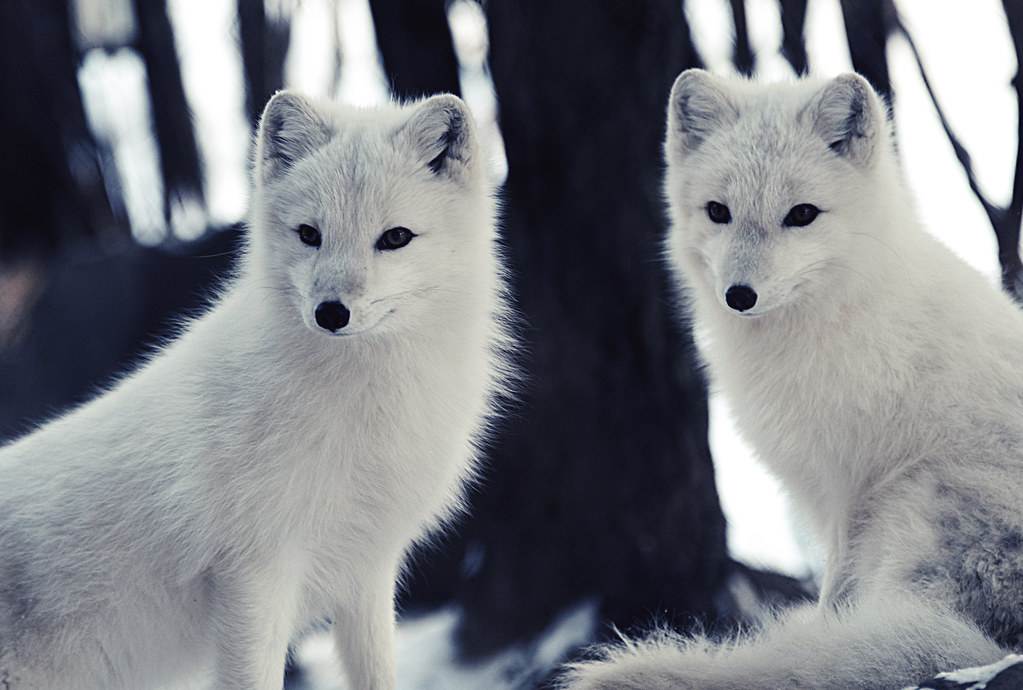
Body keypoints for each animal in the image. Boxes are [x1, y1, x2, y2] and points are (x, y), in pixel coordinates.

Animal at [0, 91, 513, 689]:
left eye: (395, 238)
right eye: (309, 234)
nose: (330, 313)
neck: (362, 408)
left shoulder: (365, 572)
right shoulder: (255, 572)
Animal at [559, 70, 1023, 689]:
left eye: (802, 214)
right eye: (718, 211)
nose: (739, 296)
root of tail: (991, 639)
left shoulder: (850, 482)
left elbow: (835, 592)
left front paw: (826, 629)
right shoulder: (829, 485)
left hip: (911, 502)